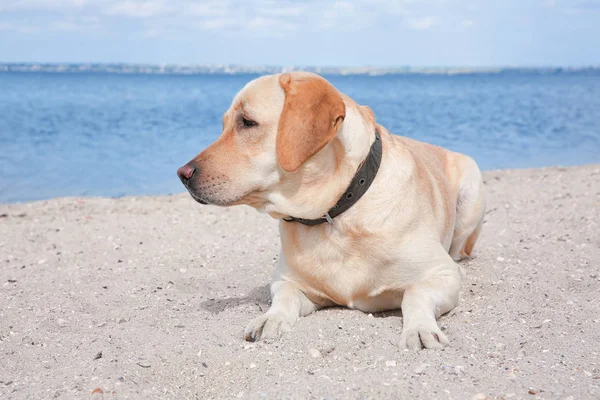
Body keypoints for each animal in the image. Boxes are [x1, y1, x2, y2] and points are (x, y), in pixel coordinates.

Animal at [176, 72, 486, 350]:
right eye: (224, 125)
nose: (182, 174)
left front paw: (419, 329)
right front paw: (270, 319)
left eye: (247, 122)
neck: (335, 214)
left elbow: (415, 292)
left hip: (472, 188)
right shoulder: (287, 282)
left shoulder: (441, 274)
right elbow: (284, 297)